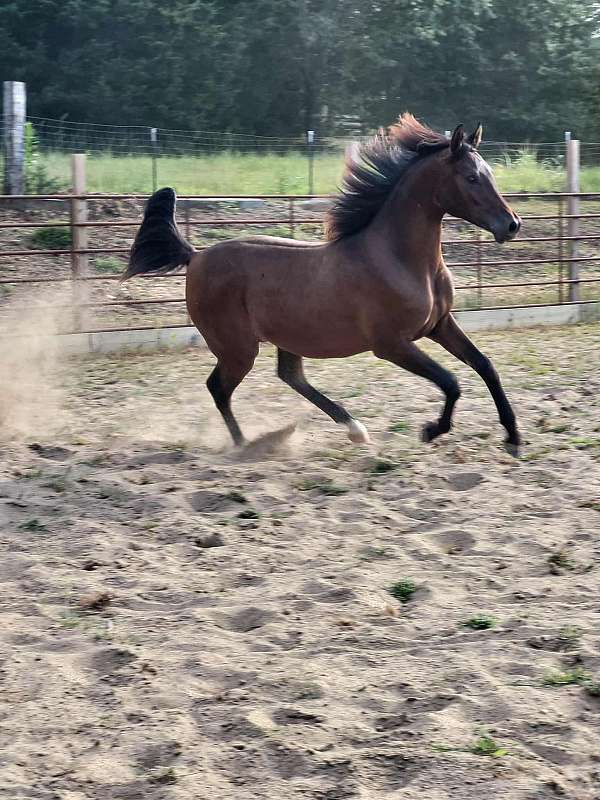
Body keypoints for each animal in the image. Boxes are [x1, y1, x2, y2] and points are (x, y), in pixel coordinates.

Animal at [124, 114, 522, 454]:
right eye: (471, 177)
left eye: (489, 173)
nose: (512, 224)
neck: (398, 260)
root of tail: (196, 256)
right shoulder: (392, 345)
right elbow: (451, 381)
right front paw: (431, 430)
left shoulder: (440, 325)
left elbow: (485, 365)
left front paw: (513, 436)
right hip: (238, 349)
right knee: (218, 388)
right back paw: (245, 444)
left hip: (286, 337)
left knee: (289, 376)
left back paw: (353, 429)